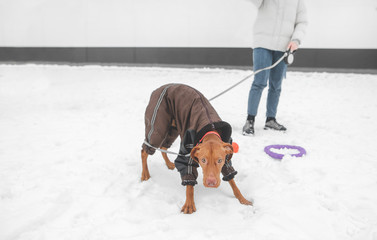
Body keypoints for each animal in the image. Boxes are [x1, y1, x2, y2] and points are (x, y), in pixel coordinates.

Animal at [142, 84, 251, 214]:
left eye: (220, 160)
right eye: (203, 160)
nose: (211, 183)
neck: (210, 129)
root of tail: (160, 88)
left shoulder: (227, 157)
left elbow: (232, 180)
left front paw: (242, 199)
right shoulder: (187, 150)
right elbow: (188, 177)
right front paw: (189, 203)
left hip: (173, 129)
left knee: (164, 146)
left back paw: (168, 163)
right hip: (158, 126)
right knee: (145, 150)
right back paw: (145, 174)